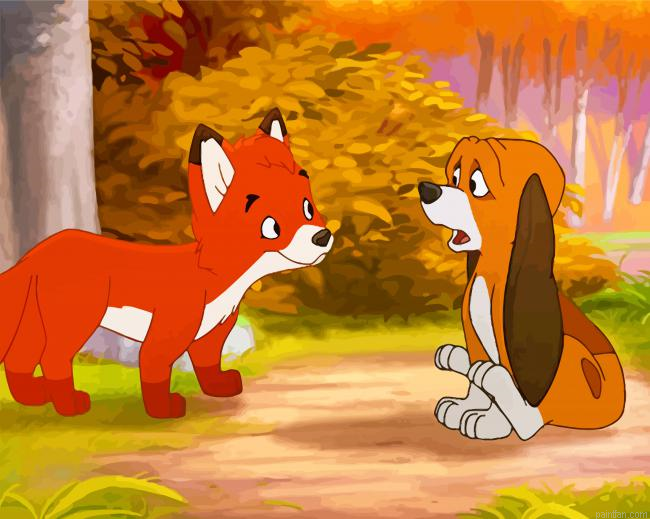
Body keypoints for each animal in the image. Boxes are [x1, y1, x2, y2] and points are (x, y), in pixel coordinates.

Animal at [0, 108, 333, 419]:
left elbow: (208, 365)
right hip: (75, 321)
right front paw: (163, 410)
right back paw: (69, 405)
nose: (323, 236)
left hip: (38, 320)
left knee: (20, 358)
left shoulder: (211, 333)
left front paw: (219, 387)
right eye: (272, 226)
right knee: (52, 359)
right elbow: (155, 372)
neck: (213, 280)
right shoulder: (165, 333)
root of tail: (37, 251)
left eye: (307, 208)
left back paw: (34, 397)